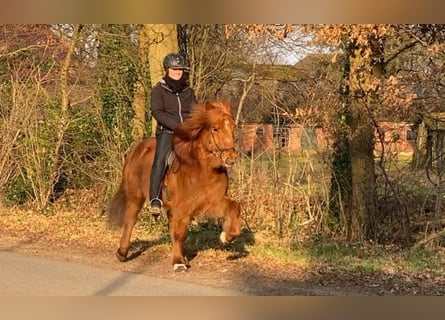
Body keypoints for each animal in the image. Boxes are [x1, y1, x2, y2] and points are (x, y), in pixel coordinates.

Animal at [107, 101, 241, 272]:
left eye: (233, 127)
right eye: (215, 128)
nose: (231, 158)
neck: (203, 168)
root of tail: (137, 149)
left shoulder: (213, 201)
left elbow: (235, 207)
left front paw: (227, 237)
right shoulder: (183, 207)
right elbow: (180, 233)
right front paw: (177, 262)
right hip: (135, 197)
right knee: (130, 221)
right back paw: (122, 253)